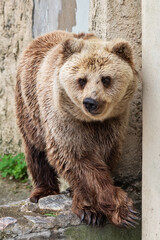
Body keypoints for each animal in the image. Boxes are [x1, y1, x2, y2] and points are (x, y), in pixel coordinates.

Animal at [15, 30, 138, 227]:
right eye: (82, 80)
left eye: (106, 79)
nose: (90, 102)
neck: (92, 122)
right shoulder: (65, 120)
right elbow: (79, 161)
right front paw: (100, 211)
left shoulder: (113, 124)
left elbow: (105, 156)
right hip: (30, 104)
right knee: (35, 148)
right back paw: (43, 190)